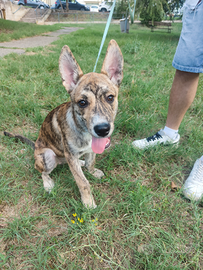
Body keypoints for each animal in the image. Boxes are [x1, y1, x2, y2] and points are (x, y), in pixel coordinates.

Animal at [3, 39, 123, 209]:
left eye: (110, 97)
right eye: (82, 102)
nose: (102, 129)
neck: (83, 131)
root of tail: (35, 146)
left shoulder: (89, 150)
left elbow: (90, 162)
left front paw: (92, 171)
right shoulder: (71, 155)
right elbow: (83, 182)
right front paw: (88, 203)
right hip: (47, 155)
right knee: (42, 171)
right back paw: (48, 184)